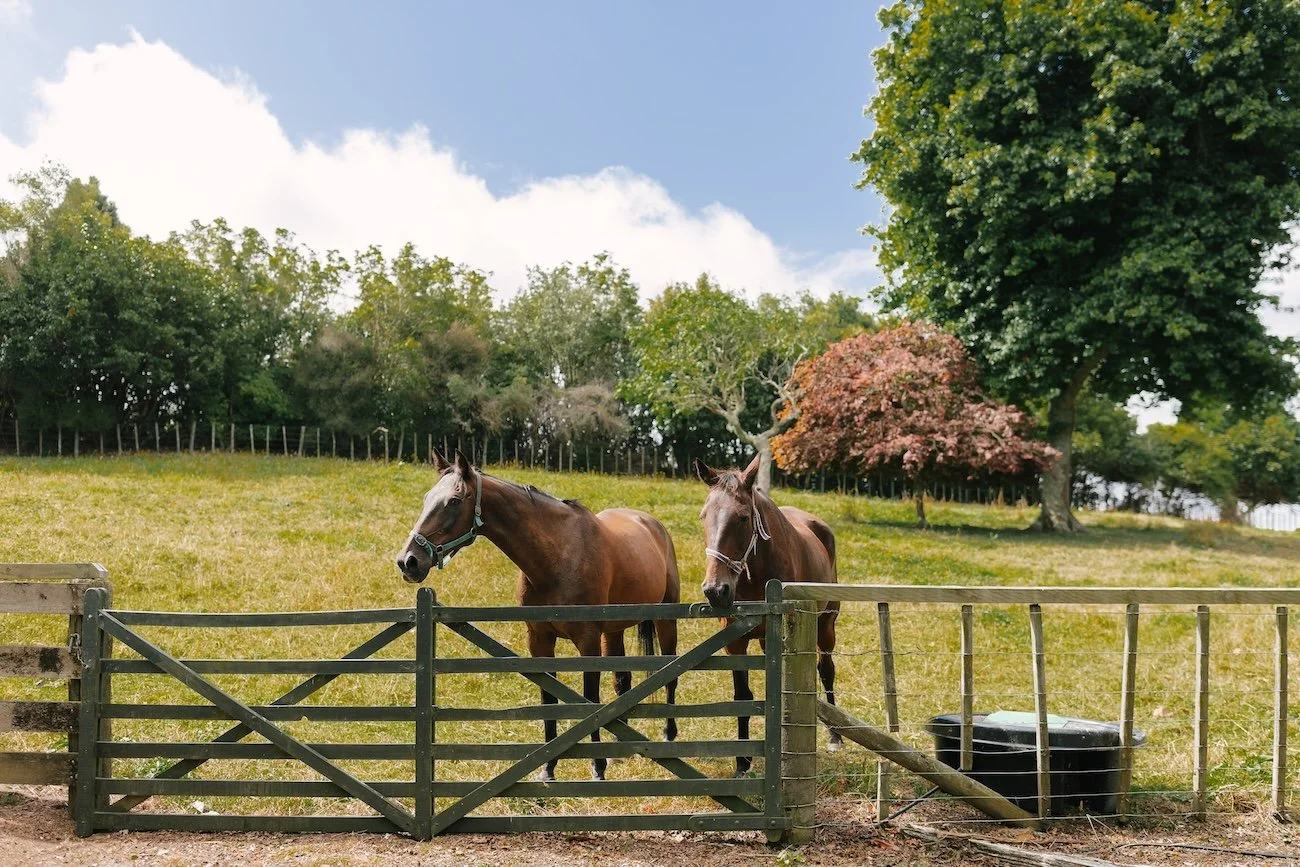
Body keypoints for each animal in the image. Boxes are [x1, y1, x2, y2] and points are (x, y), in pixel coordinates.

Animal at [396, 448, 681, 781]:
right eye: (427, 498)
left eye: (453, 501)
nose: (408, 561)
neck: (557, 557)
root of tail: (651, 523)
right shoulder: (540, 641)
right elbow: (550, 700)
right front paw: (548, 768)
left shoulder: (588, 642)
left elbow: (590, 699)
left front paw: (597, 767)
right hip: (614, 631)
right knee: (622, 681)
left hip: (665, 621)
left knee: (670, 674)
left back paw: (668, 737)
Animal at [693, 454, 842, 774]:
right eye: (703, 516)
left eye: (742, 518)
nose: (715, 590)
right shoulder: (735, 642)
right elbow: (743, 696)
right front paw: (742, 761)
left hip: (826, 627)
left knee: (826, 669)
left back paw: (836, 736)